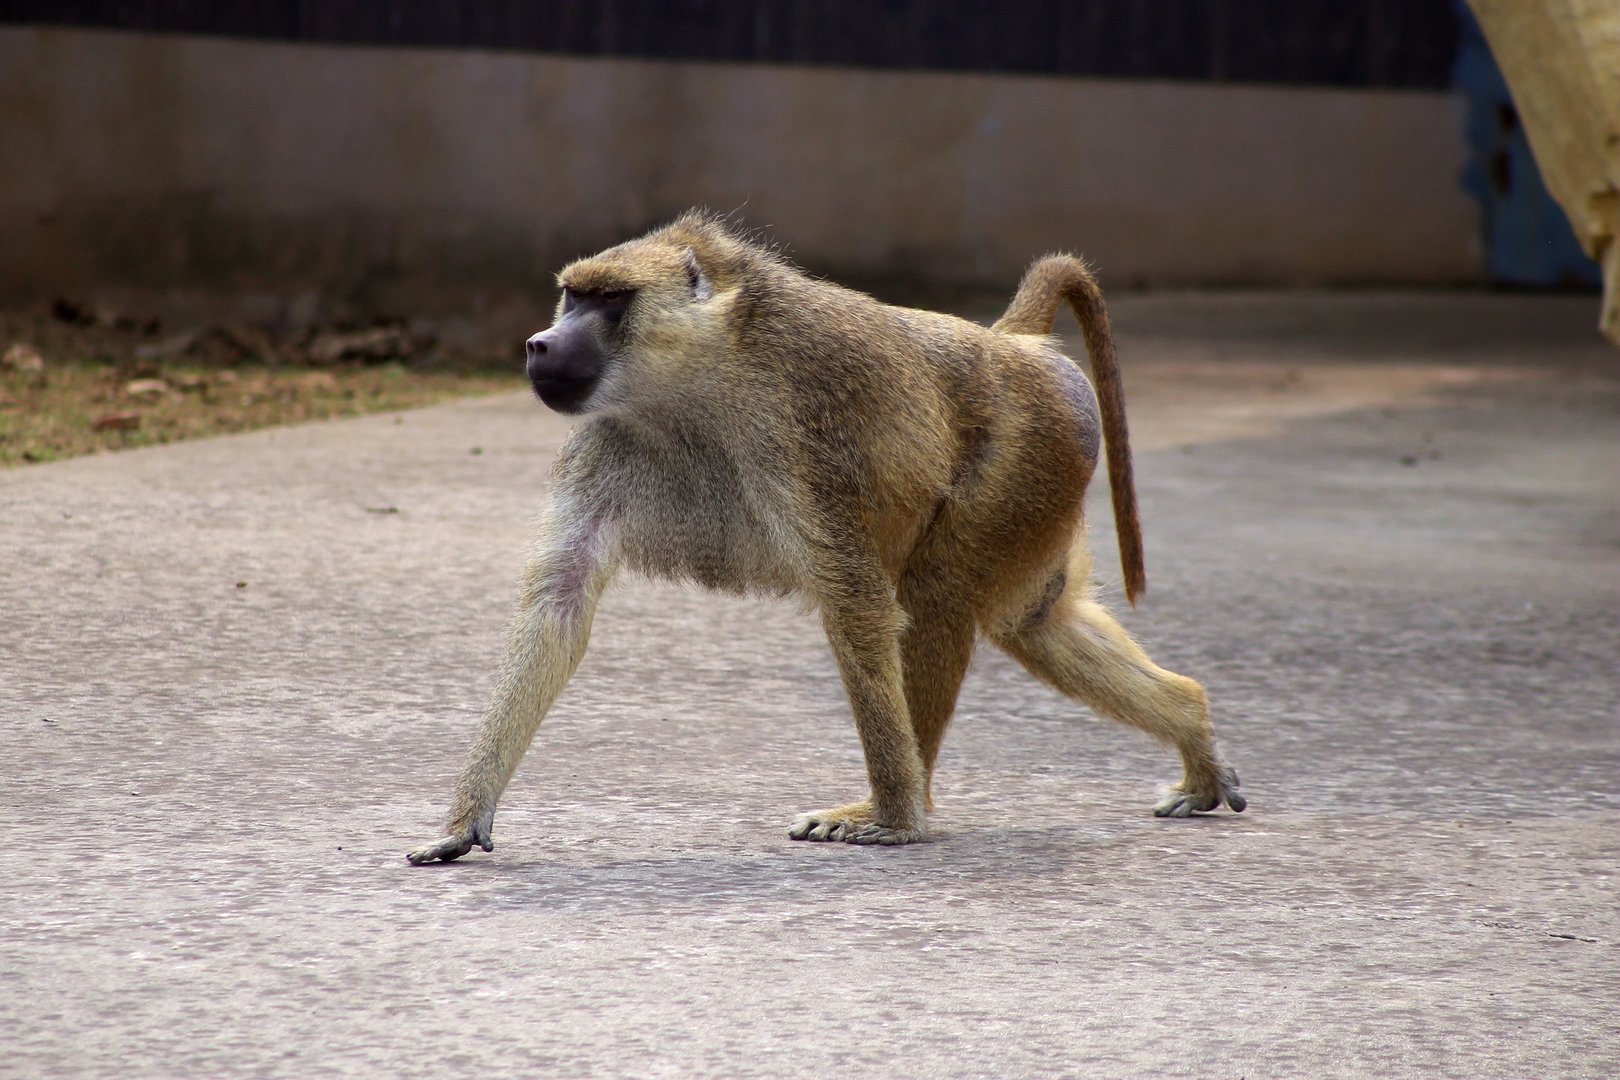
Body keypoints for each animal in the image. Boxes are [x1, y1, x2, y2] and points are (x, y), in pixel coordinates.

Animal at [406, 210, 1243, 864]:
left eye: (609, 301)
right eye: (572, 295)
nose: (541, 343)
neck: (699, 377)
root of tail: (1010, 345)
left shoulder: (799, 438)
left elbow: (858, 605)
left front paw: (894, 820)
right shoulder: (607, 446)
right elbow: (561, 602)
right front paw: (465, 820)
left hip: (1027, 461)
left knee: (938, 602)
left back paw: (904, 803)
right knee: (1038, 624)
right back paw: (1195, 732)